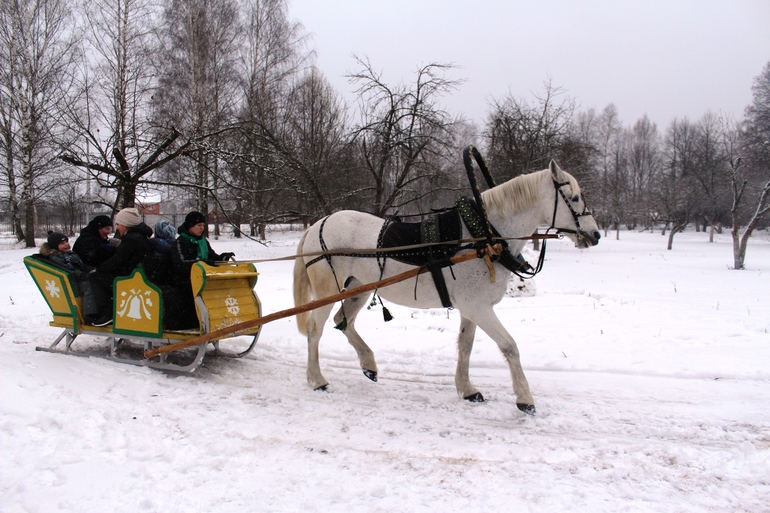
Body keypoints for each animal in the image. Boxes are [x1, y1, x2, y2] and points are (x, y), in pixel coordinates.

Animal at [293, 160, 600, 414]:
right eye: (574, 197)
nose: (595, 234)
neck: (483, 237)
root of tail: (317, 224)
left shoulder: (472, 308)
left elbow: (465, 345)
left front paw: (467, 389)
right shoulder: (479, 308)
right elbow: (509, 346)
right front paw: (524, 398)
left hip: (360, 288)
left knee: (343, 321)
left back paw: (368, 364)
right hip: (327, 291)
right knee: (315, 329)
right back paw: (316, 379)